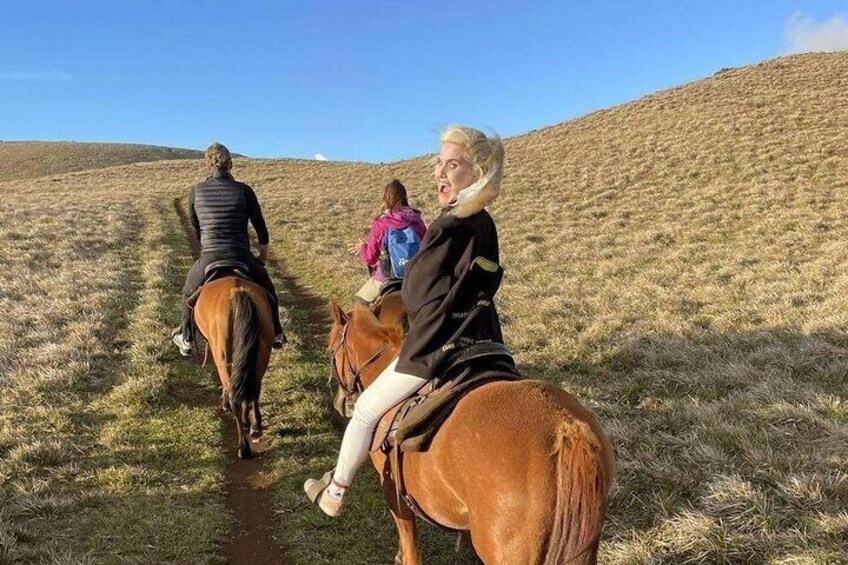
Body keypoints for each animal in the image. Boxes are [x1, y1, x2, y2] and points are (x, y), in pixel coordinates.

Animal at [194, 278, 274, 458]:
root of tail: (237, 292)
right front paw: (248, 421)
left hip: (223, 354)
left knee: (234, 395)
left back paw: (243, 447)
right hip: (261, 354)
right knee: (254, 389)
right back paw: (255, 425)